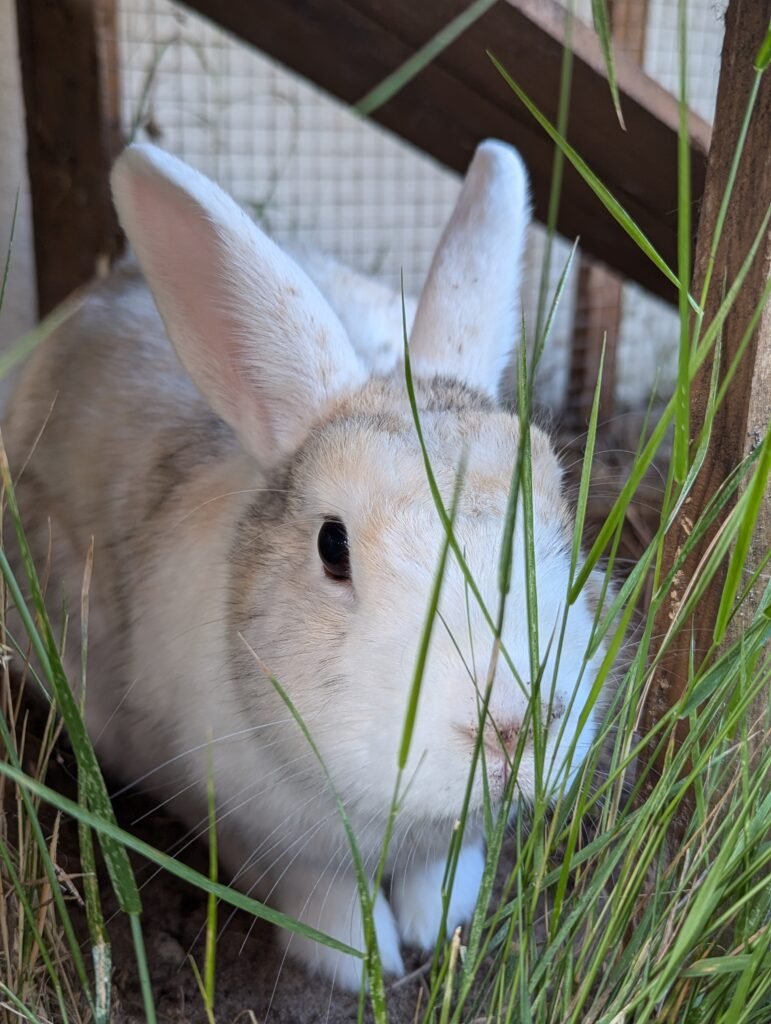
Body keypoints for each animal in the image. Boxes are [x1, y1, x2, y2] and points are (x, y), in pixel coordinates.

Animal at [3, 140, 610, 987]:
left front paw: (437, 923)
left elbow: (441, 873)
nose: (513, 728)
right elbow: (322, 894)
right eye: (332, 547)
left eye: (557, 512)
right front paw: (363, 961)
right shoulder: (256, 833)